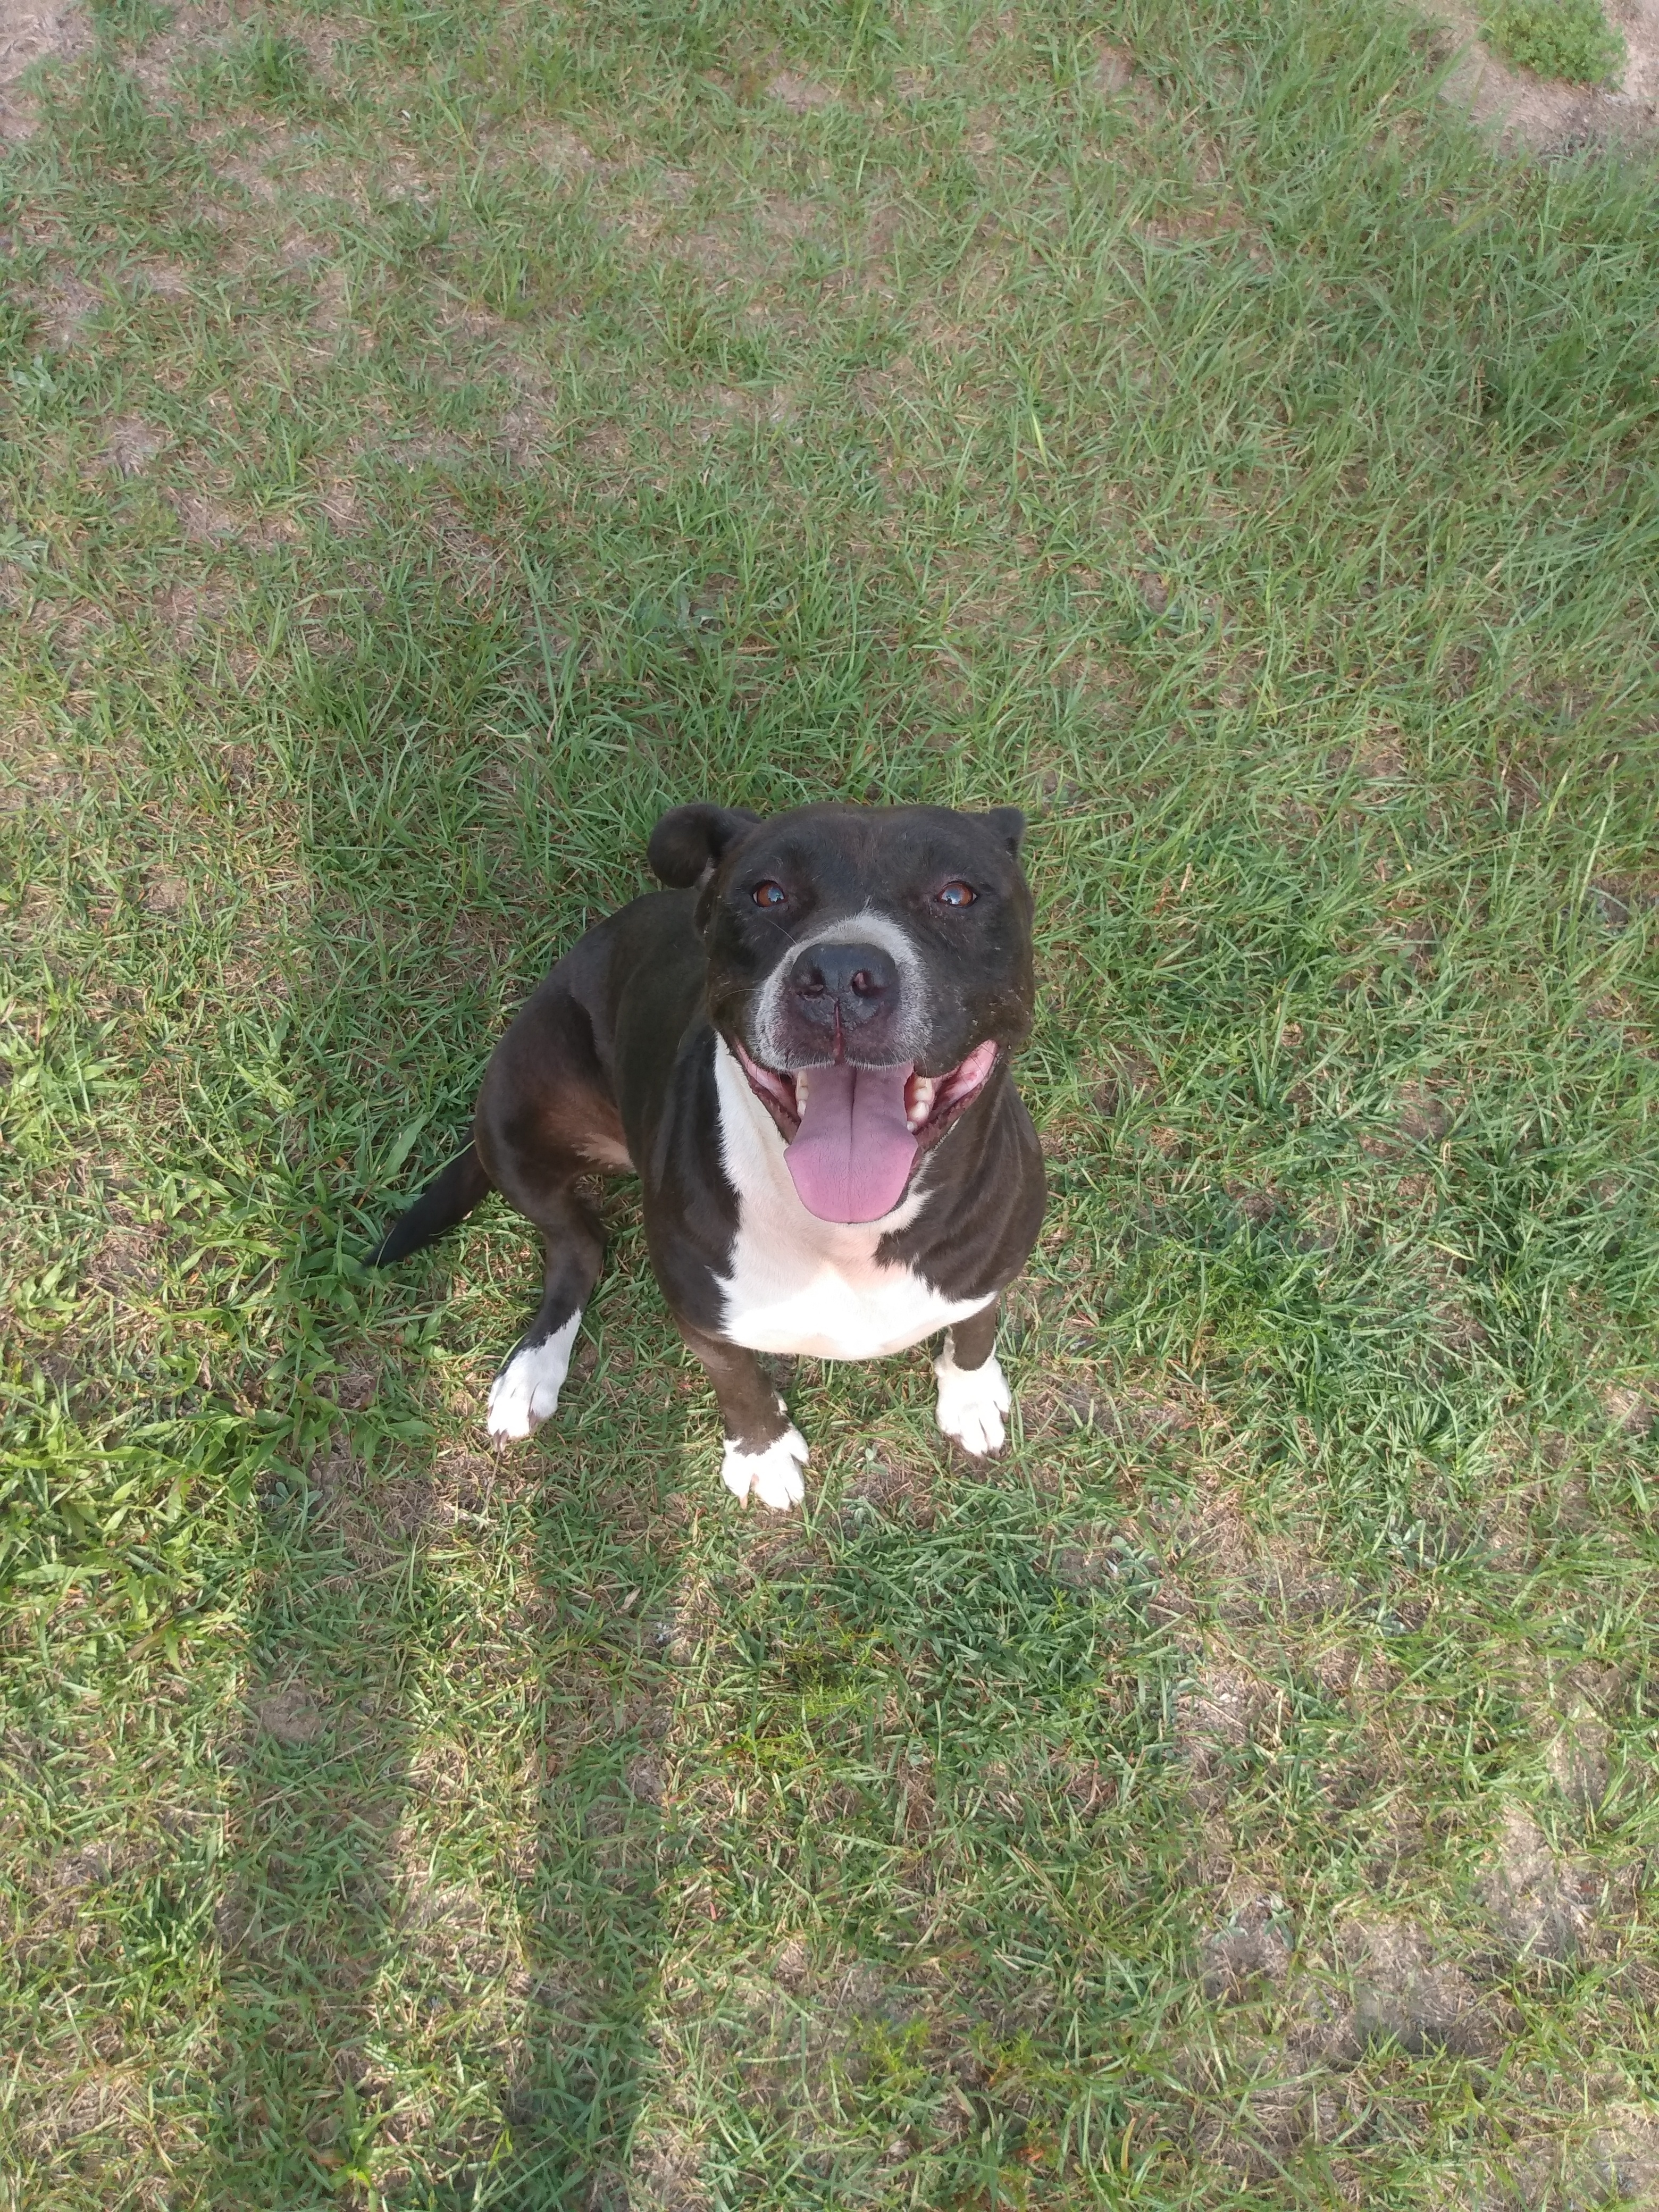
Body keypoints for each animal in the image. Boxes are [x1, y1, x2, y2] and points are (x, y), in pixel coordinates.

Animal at [378, 805, 1053, 1513]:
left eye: (958, 894)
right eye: (768, 893)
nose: (843, 972)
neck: (846, 1236)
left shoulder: (990, 1268)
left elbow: (975, 1327)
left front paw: (970, 1394)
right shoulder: (701, 1314)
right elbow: (738, 1378)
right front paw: (761, 1452)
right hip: (510, 1113)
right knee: (579, 1243)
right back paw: (533, 1369)